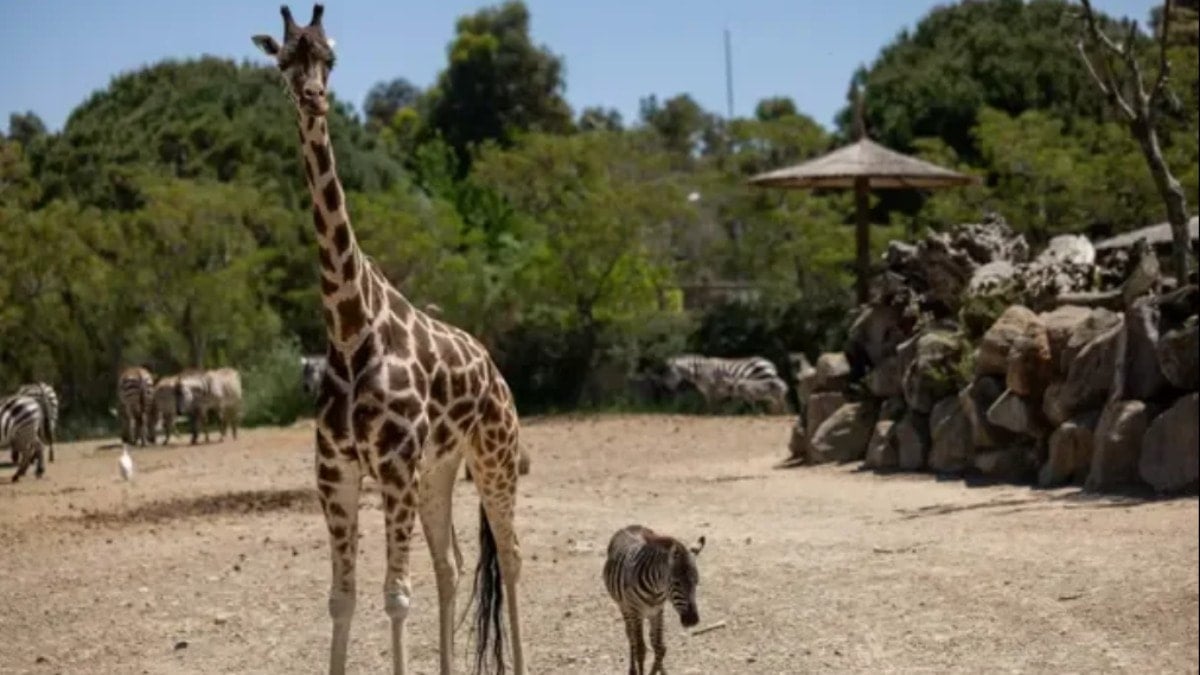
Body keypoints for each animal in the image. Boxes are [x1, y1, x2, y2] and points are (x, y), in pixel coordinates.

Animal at [603, 525, 705, 675]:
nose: (692, 620)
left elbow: (661, 648)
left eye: (696, 582)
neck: (655, 589)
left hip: (651, 613)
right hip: (624, 607)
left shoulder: (658, 611)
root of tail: (629, 526)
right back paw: (632, 669)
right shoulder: (636, 612)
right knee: (630, 635)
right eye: (676, 583)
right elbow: (640, 649)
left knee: (652, 641)